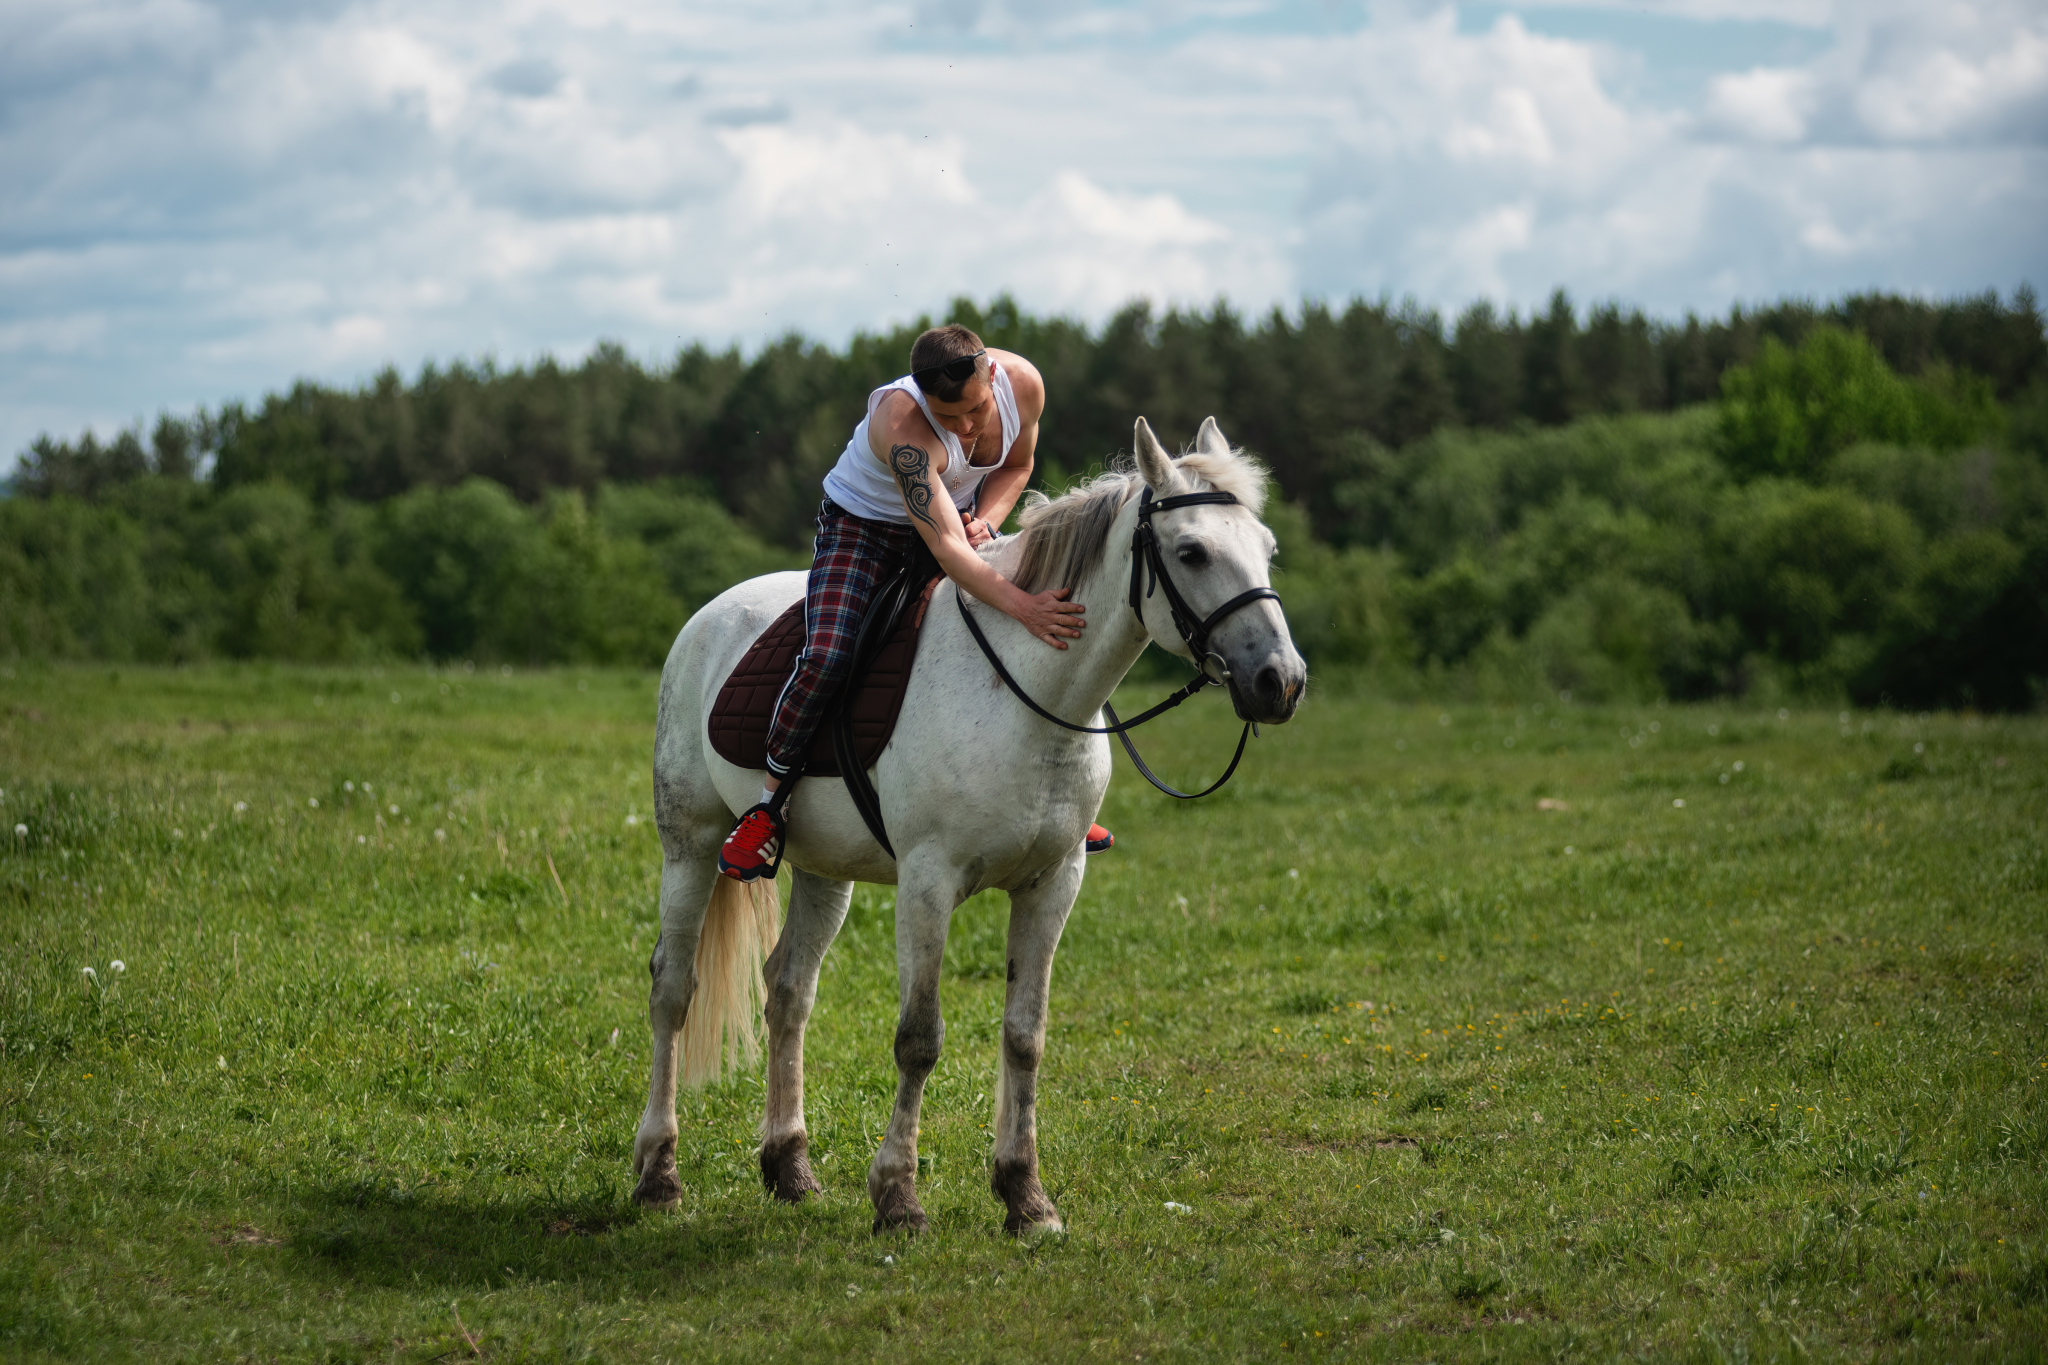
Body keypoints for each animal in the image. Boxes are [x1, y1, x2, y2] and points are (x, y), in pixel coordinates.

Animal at [630, 417, 1302, 1236]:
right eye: (1192, 551)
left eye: (1266, 546)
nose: (1280, 681)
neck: (1030, 694)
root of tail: (711, 616)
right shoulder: (928, 882)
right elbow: (919, 1039)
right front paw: (898, 1196)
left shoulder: (1053, 883)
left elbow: (1025, 1036)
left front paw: (1026, 1196)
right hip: (690, 845)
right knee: (673, 988)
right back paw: (658, 1172)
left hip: (824, 870)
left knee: (788, 991)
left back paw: (789, 1164)